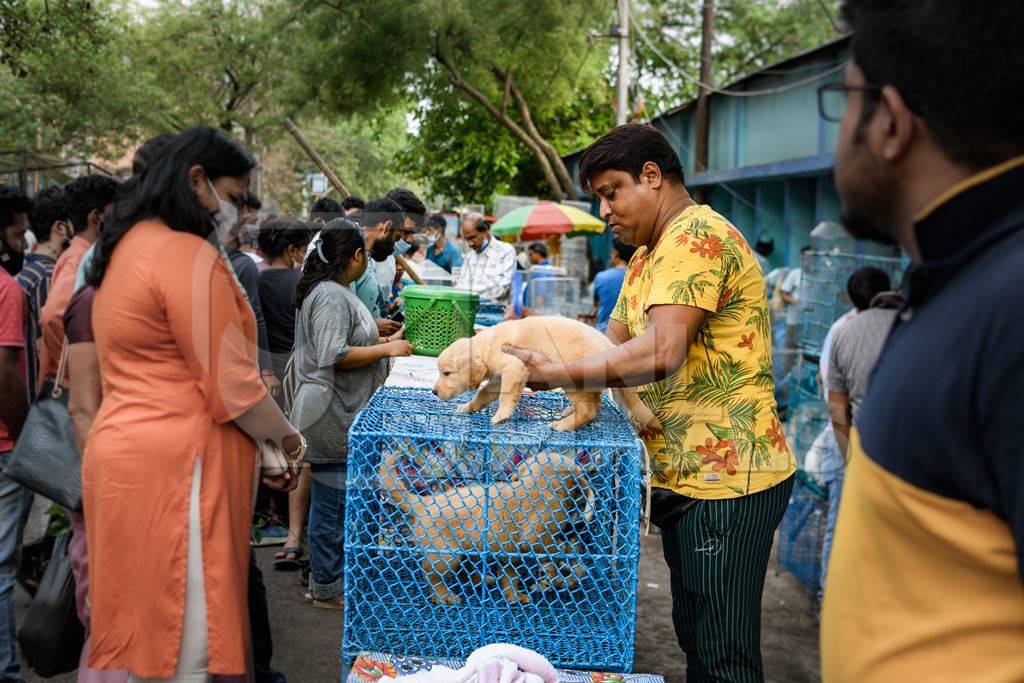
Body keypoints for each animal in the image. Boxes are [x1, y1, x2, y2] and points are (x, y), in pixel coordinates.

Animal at [378, 450, 589, 606]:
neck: (534, 486)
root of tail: (424, 503)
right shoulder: (536, 535)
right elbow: (551, 550)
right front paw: (560, 559)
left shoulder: (509, 554)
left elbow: (510, 579)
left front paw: (514, 596)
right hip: (447, 553)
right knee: (431, 574)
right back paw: (444, 596)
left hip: (466, 550)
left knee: (464, 572)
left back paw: (482, 580)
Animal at [430, 315, 655, 432]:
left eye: (446, 373)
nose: (433, 392)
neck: (487, 345)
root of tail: (610, 346)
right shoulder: (498, 379)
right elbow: (483, 394)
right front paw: (468, 407)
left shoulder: (514, 368)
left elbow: (505, 397)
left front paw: (501, 415)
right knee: (595, 403)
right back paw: (568, 412)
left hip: (573, 378)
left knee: (588, 410)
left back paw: (563, 425)